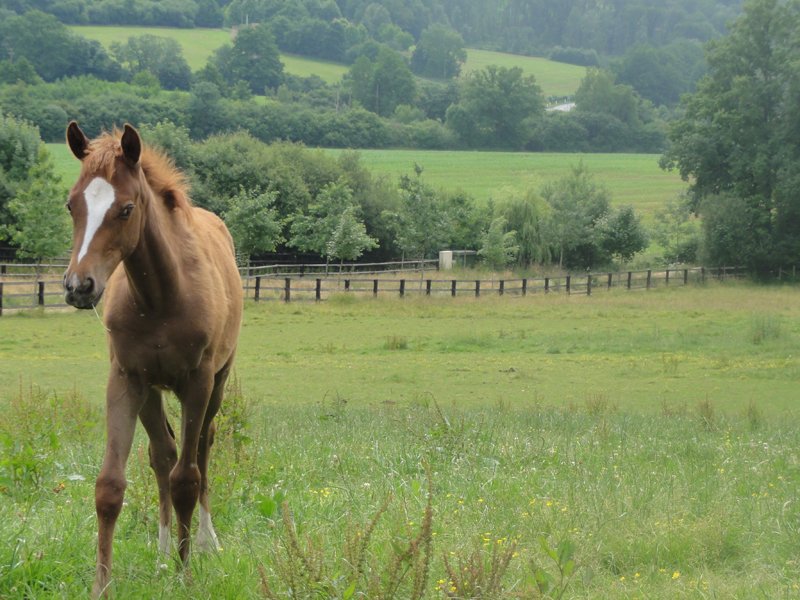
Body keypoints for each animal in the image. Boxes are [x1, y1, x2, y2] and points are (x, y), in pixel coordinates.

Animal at [62, 122, 243, 597]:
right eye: (71, 204)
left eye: (126, 209)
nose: (79, 286)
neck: (162, 296)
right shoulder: (127, 378)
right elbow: (111, 485)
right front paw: (102, 585)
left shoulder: (197, 381)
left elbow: (187, 478)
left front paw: (186, 574)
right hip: (152, 392)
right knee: (162, 453)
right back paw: (163, 553)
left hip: (218, 382)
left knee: (201, 449)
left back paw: (205, 542)